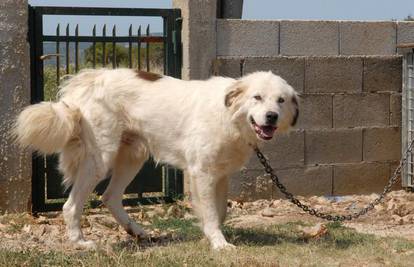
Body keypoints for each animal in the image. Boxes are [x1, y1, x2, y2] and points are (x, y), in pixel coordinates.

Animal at [12, 68, 298, 249]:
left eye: (281, 101)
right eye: (257, 97)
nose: (271, 116)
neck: (229, 116)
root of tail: (88, 80)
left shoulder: (220, 175)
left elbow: (220, 211)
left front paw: (210, 237)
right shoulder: (202, 172)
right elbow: (211, 212)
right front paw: (219, 243)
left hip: (133, 156)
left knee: (110, 197)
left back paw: (136, 231)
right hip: (100, 158)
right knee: (72, 205)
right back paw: (80, 242)